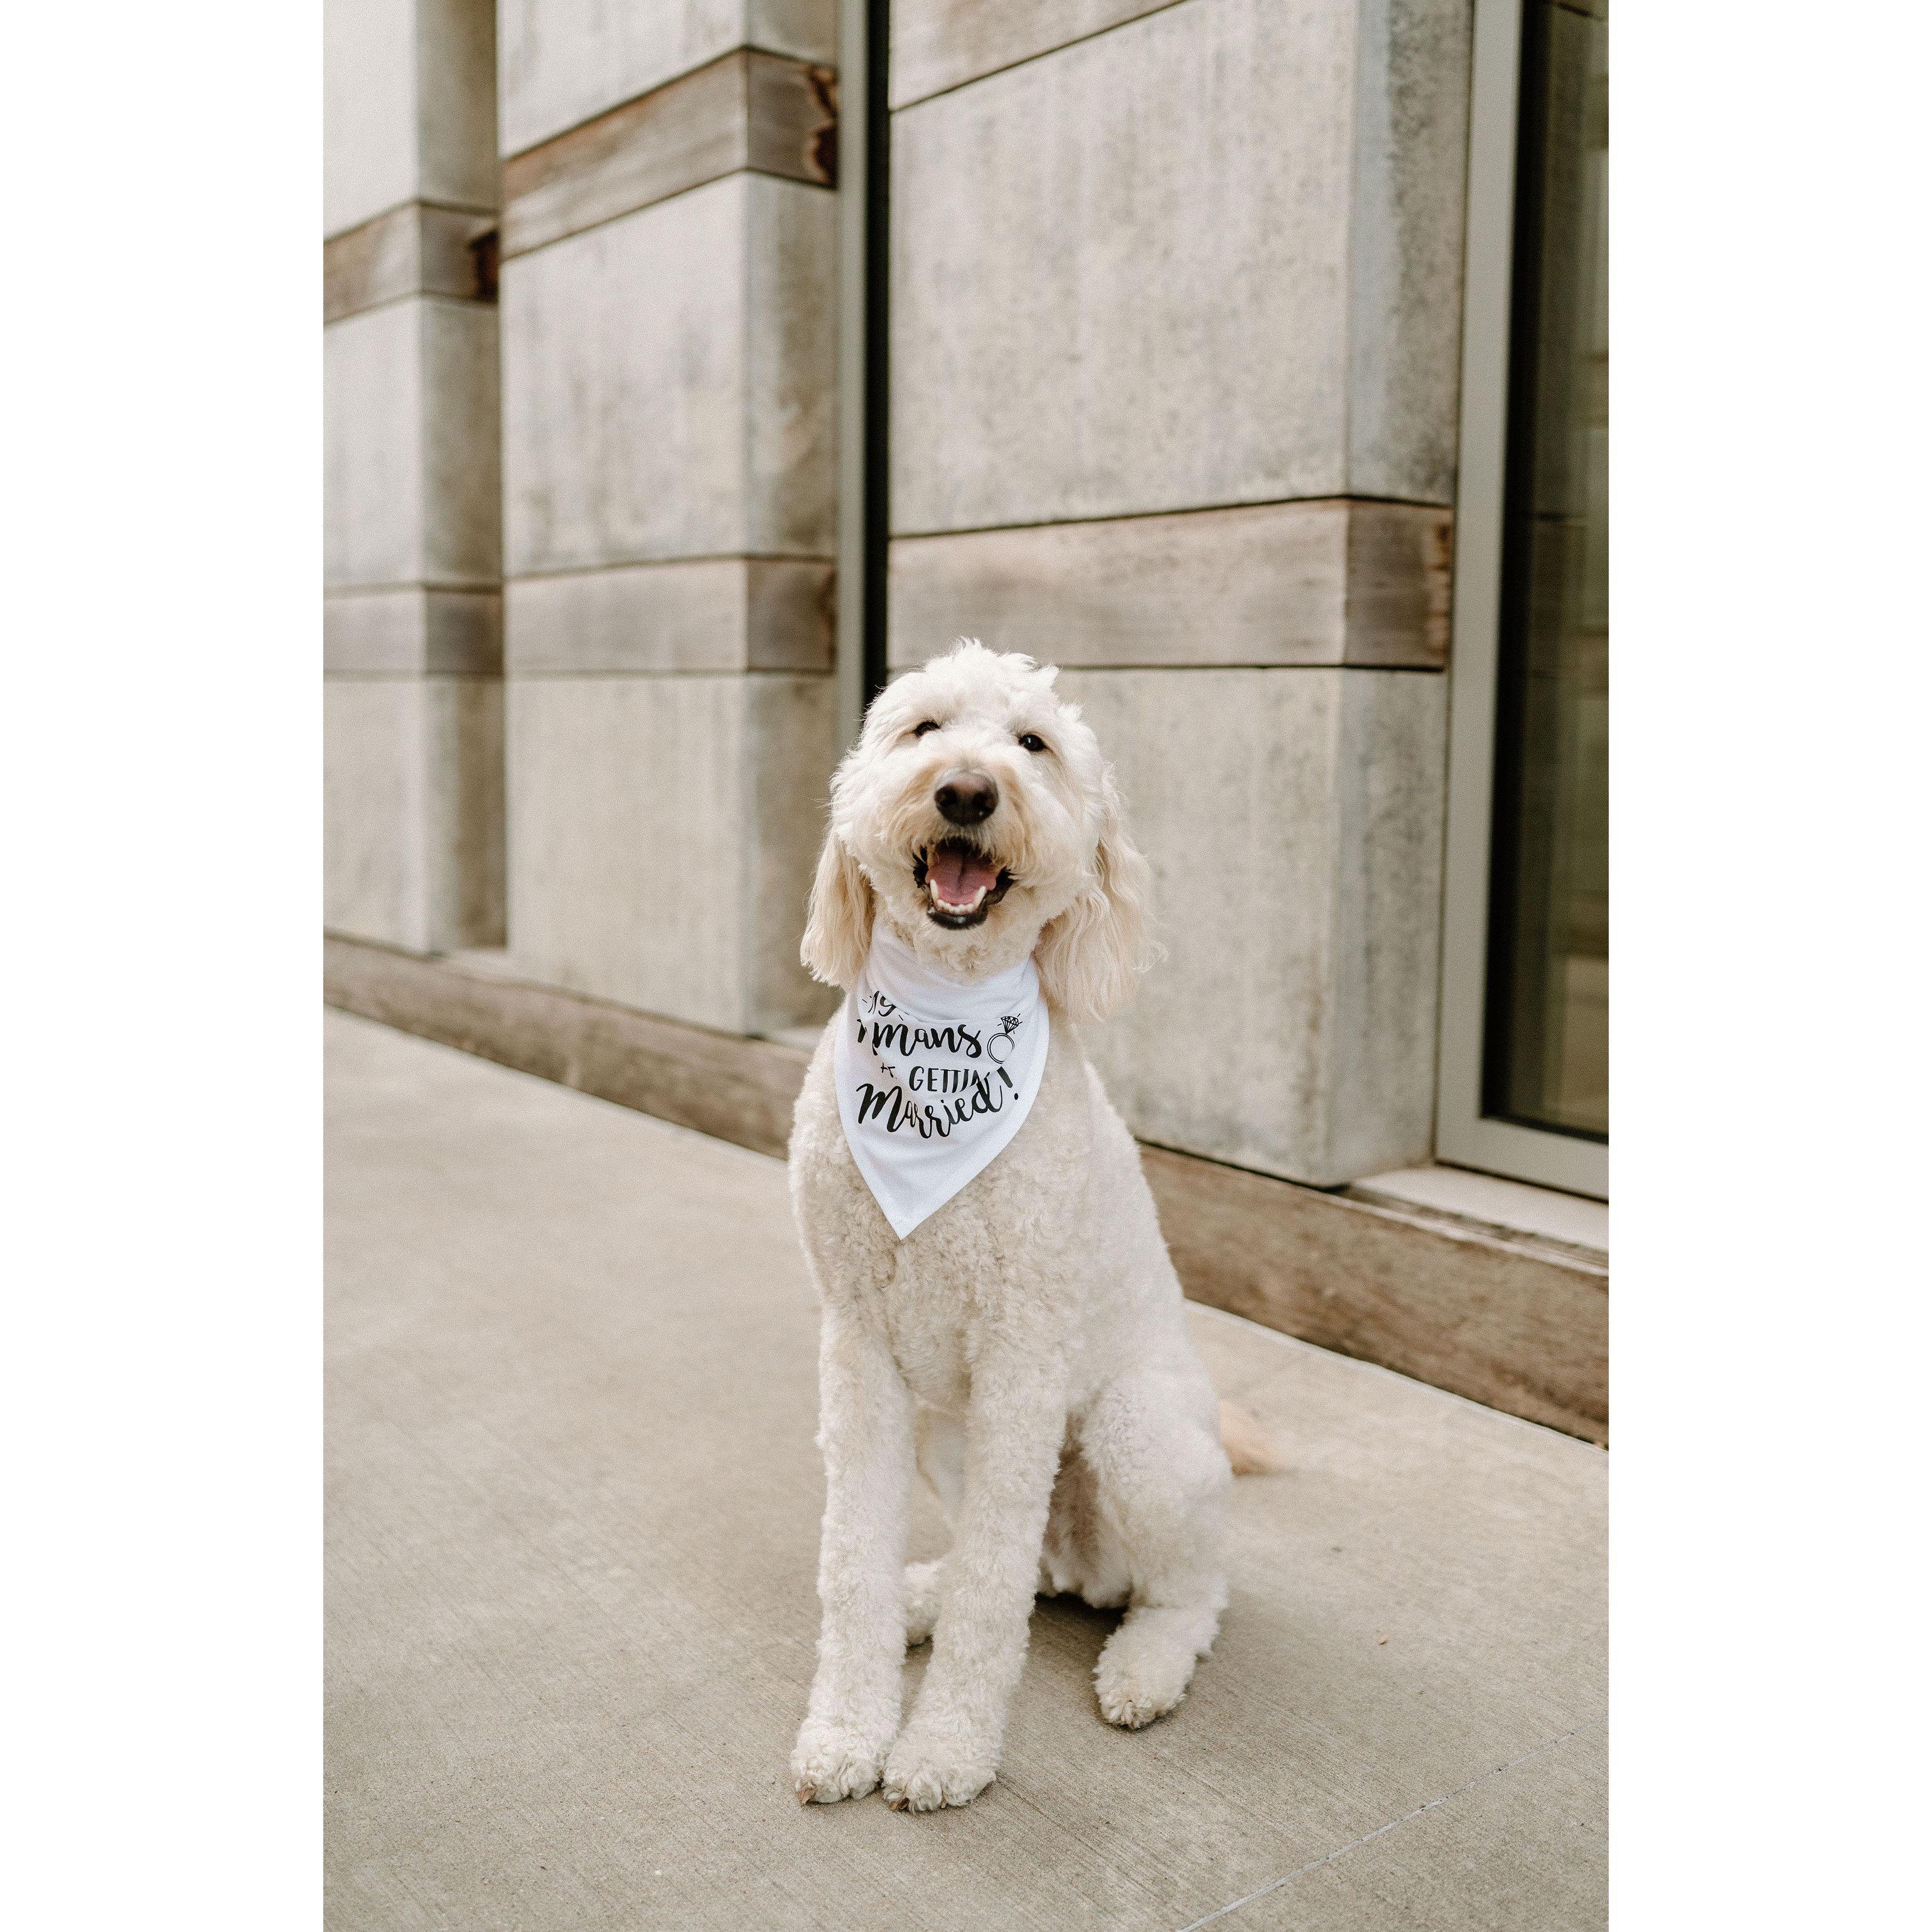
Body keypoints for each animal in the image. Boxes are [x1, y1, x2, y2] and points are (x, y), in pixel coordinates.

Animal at [784, 641, 1267, 1816]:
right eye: (921, 729)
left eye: (1033, 744)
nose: (966, 790)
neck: (942, 1012)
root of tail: (1095, 1568)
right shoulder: (857, 1348)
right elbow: (852, 1561)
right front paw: (846, 1728)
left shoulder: (1020, 1357)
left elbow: (991, 1596)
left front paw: (944, 1749)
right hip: (944, 1435)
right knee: (1028, 1569)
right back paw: (925, 1592)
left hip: (1139, 1432)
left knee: (1188, 1586)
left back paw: (1144, 1665)